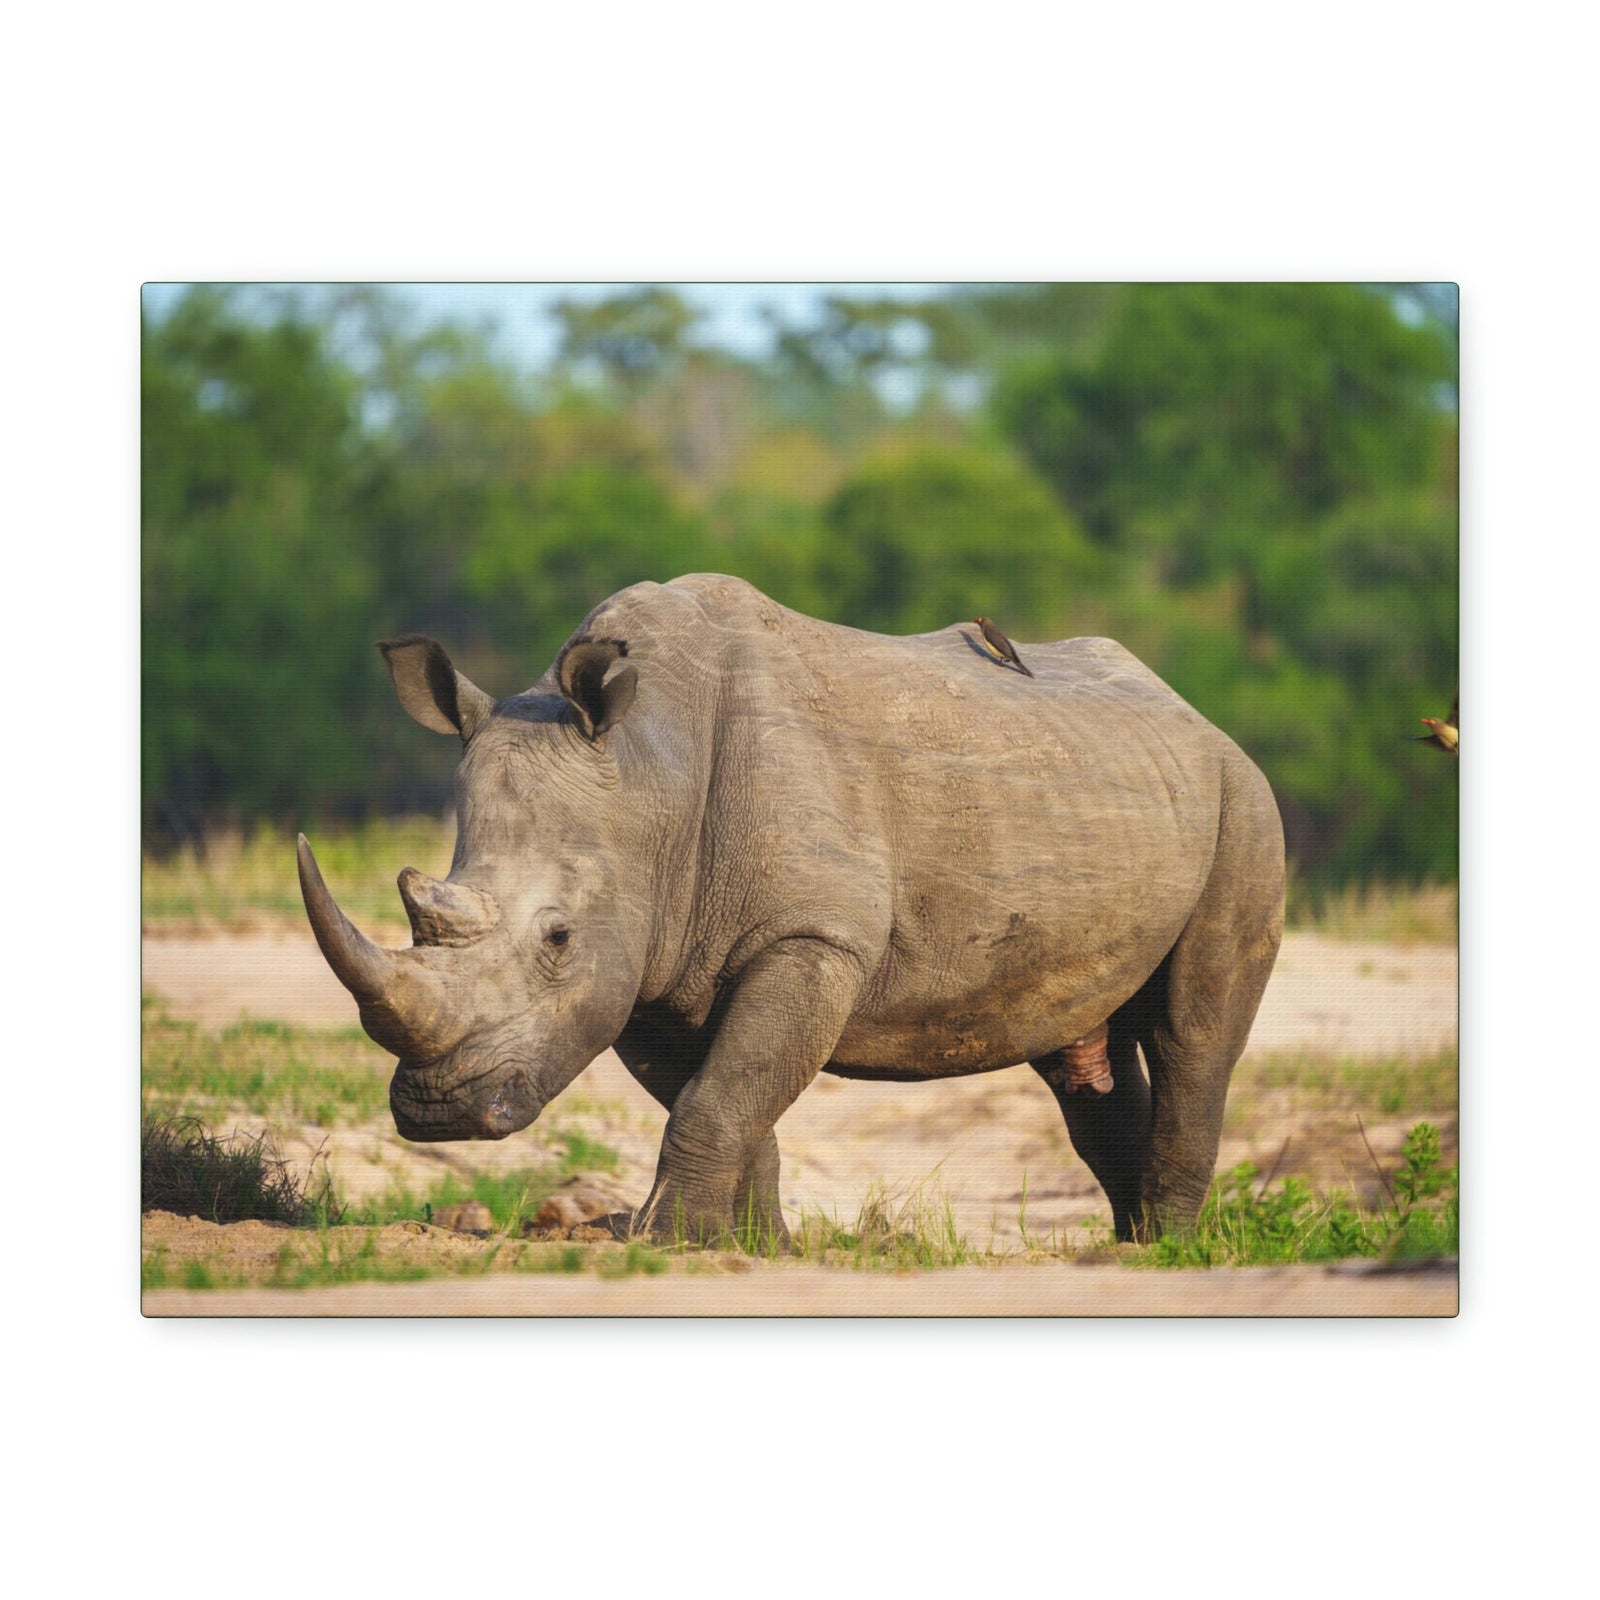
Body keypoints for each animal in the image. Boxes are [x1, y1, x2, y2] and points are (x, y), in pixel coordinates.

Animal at [298, 574, 1284, 1247]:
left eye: (557, 938)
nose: (440, 1112)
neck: (649, 771)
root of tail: (1191, 712)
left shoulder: (811, 938)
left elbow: (723, 1092)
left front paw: (664, 1241)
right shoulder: (651, 965)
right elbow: (727, 1094)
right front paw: (742, 1246)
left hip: (1242, 800)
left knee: (1195, 1036)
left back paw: (1169, 1253)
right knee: (1079, 1057)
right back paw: (1129, 1245)